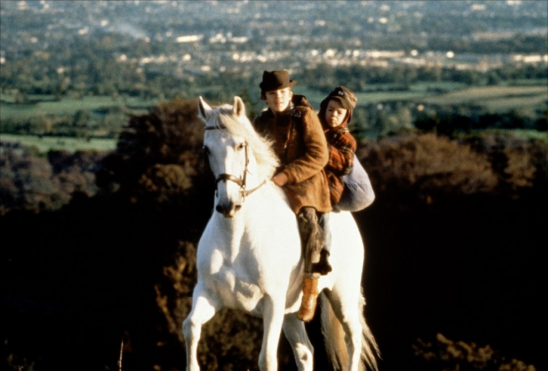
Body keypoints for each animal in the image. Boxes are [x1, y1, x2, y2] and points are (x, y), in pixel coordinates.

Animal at [182, 96, 378, 371]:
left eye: (240, 145)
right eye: (206, 149)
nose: (228, 205)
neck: (235, 238)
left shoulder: (272, 302)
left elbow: (267, 358)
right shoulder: (208, 293)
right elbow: (190, 327)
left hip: (342, 296)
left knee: (354, 340)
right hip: (292, 311)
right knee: (305, 351)